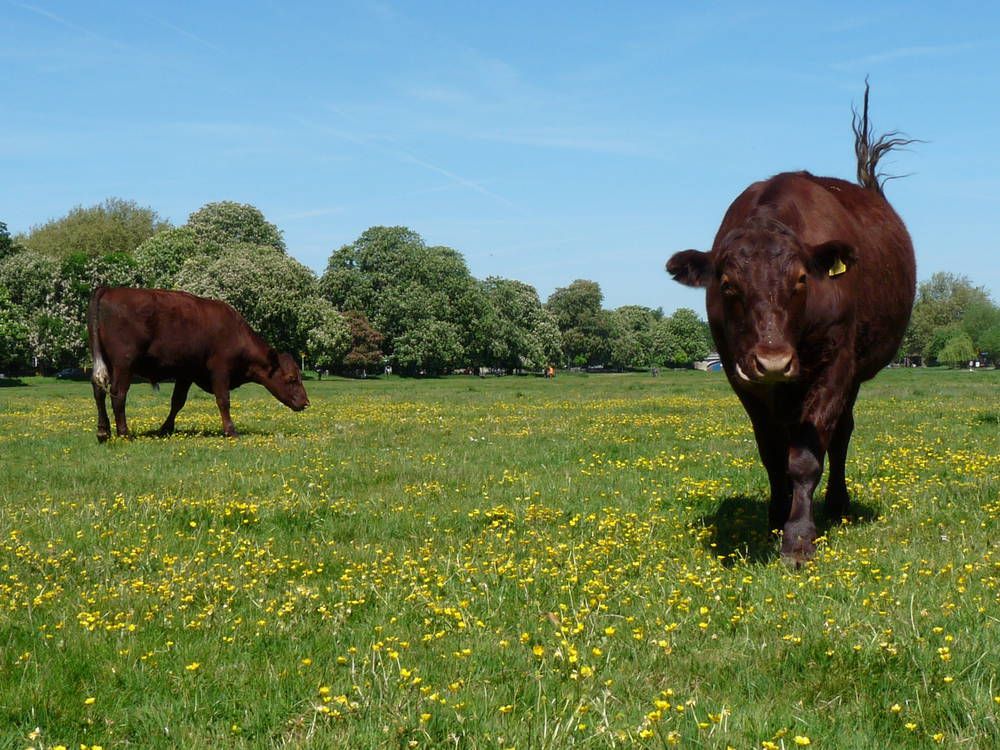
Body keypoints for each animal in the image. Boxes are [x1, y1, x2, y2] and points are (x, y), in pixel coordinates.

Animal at [87, 286, 309, 442]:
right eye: (291, 378)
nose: (306, 402)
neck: (235, 331)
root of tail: (109, 289)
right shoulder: (220, 371)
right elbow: (223, 400)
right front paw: (231, 431)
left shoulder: (186, 373)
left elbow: (177, 401)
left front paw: (165, 429)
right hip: (124, 364)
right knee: (118, 394)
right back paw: (124, 433)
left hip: (107, 363)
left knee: (99, 391)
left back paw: (103, 431)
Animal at [666, 84, 916, 563]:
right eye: (727, 284)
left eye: (802, 279)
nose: (774, 361)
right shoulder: (741, 375)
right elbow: (771, 452)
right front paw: (775, 516)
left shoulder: (835, 366)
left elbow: (805, 456)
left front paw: (798, 536)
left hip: (852, 373)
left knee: (841, 434)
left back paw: (837, 503)